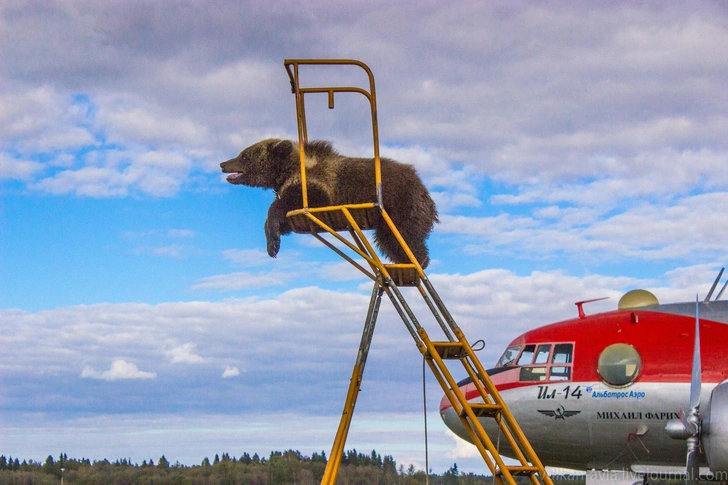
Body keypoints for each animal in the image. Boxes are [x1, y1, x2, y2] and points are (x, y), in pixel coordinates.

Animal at [222, 139, 438, 268]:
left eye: (244, 156)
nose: (223, 163)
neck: (286, 172)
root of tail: (426, 193)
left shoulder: (317, 188)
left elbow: (283, 206)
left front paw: (273, 238)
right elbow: (285, 218)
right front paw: (273, 243)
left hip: (402, 204)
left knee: (402, 236)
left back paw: (419, 260)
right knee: (389, 241)